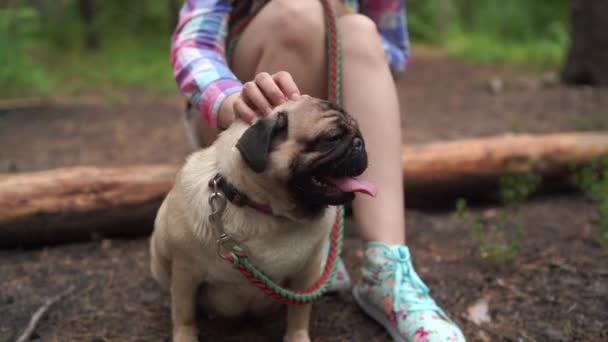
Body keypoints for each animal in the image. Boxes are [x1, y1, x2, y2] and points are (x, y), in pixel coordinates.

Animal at [151, 96, 376, 342]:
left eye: (358, 131)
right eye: (332, 138)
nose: (359, 142)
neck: (268, 212)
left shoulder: (306, 275)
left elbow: (299, 314)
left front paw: (297, 337)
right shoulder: (185, 273)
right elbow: (184, 314)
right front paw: (185, 337)